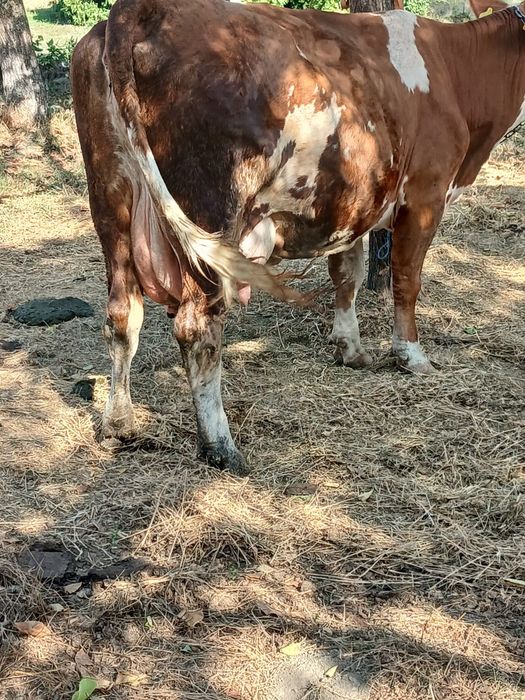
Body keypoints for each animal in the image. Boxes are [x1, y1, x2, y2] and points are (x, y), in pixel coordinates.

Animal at [71, 0, 525, 472]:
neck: (454, 72)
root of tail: (141, 10)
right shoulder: (424, 197)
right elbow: (406, 280)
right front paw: (411, 356)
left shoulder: (353, 204)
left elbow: (347, 274)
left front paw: (350, 348)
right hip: (210, 210)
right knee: (197, 329)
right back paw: (220, 445)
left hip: (111, 199)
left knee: (122, 315)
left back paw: (118, 424)